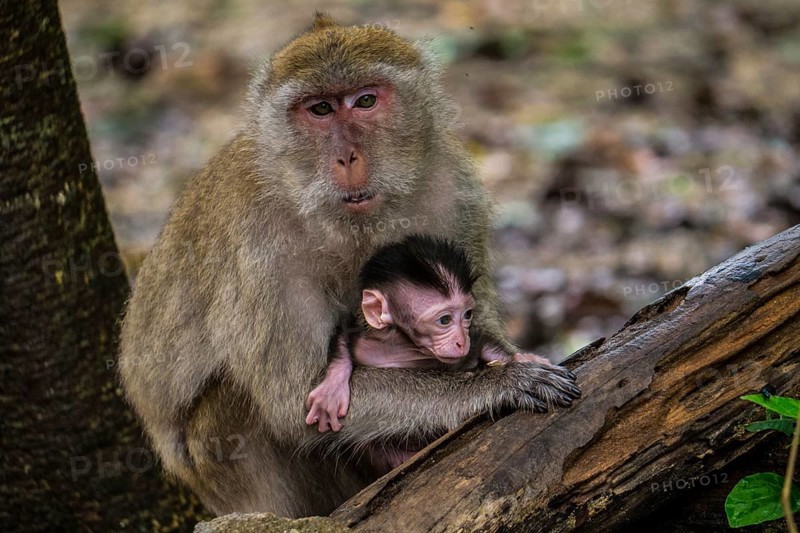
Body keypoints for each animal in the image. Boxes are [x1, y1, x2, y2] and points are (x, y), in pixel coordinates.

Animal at [305, 234, 551, 438]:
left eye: (467, 315)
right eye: (444, 320)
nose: (461, 341)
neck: (405, 346)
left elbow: (481, 344)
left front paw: (520, 361)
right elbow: (344, 332)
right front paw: (332, 386)